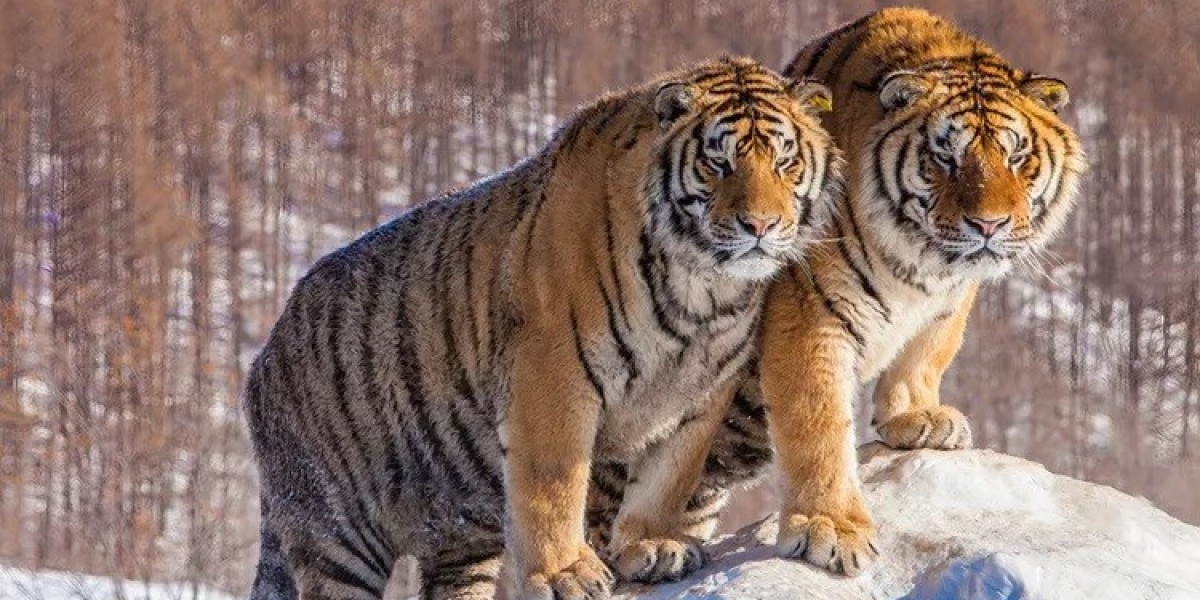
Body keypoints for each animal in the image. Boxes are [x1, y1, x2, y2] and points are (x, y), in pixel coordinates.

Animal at [242, 56, 843, 600]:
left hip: (459, 537)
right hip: (338, 532)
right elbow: (553, 487)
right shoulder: (552, 376)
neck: (703, 292)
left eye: (785, 162)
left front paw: (651, 545)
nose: (760, 225)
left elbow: (668, 478)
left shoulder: (701, 391)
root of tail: (263, 355)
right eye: (719, 163)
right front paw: (564, 574)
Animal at [587, 7, 1086, 580]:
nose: (989, 225)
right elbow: (819, 427)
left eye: (1017, 157)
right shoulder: (809, 317)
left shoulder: (949, 300)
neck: (921, 261)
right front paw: (832, 529)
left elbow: (927, 351)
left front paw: (917, 416)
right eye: (946, 158)